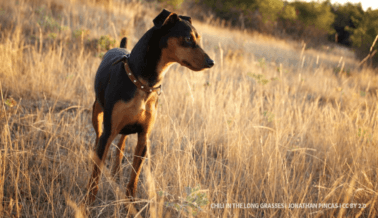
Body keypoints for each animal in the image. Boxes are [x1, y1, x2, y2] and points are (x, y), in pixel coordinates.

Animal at [86, 8, 214, 205]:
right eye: (187, 38)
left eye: (198, 38)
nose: (211, 62)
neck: (143, 84)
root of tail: (119, 46)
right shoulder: (109, 132)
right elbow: (96, 174)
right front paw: (88, 202)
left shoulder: (144, 137)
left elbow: (134, 178)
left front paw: (130, 204)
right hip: (97, 114)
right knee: (98, 137)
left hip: (123, 129)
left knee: (120, 148)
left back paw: (116, 173)